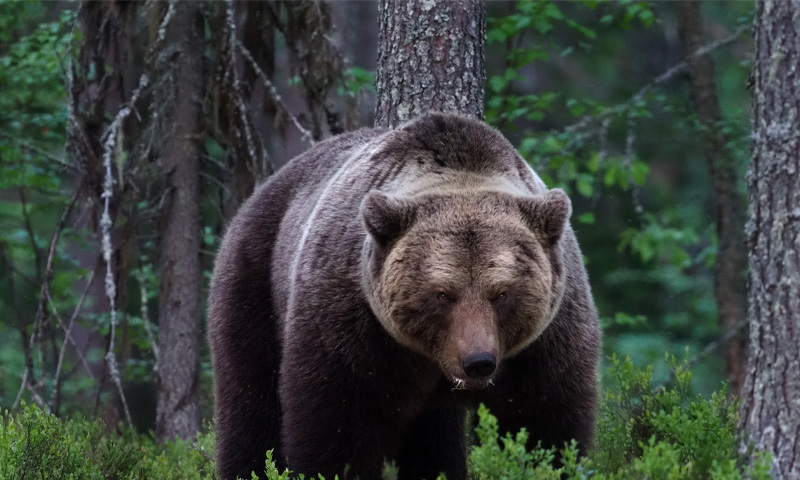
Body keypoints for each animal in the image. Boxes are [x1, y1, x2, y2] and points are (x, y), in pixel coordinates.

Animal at [208, 112, 601, 480]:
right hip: (255, 278)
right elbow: (336, 424)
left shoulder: (545, 338)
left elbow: (546, 419)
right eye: (442, 294)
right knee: (251, 401)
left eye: (502, 293)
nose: (478, 361)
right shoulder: (353, 321)